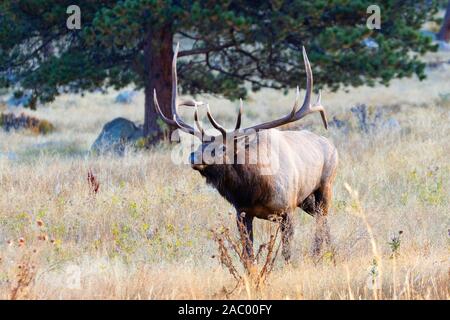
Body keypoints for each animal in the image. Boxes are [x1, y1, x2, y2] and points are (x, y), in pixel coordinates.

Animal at [155, 43, 338, 262]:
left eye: (223, 147)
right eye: (198, 144)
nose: (193, 157)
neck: (254, 190)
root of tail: (332, 146)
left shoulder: (287, 209)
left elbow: (286, 253)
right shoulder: (242, 213)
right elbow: (248, 254)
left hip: (325, 186)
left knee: (322, 219)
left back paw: (320, 254)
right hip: (306, 200)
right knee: (322, 219)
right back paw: (331, 253)